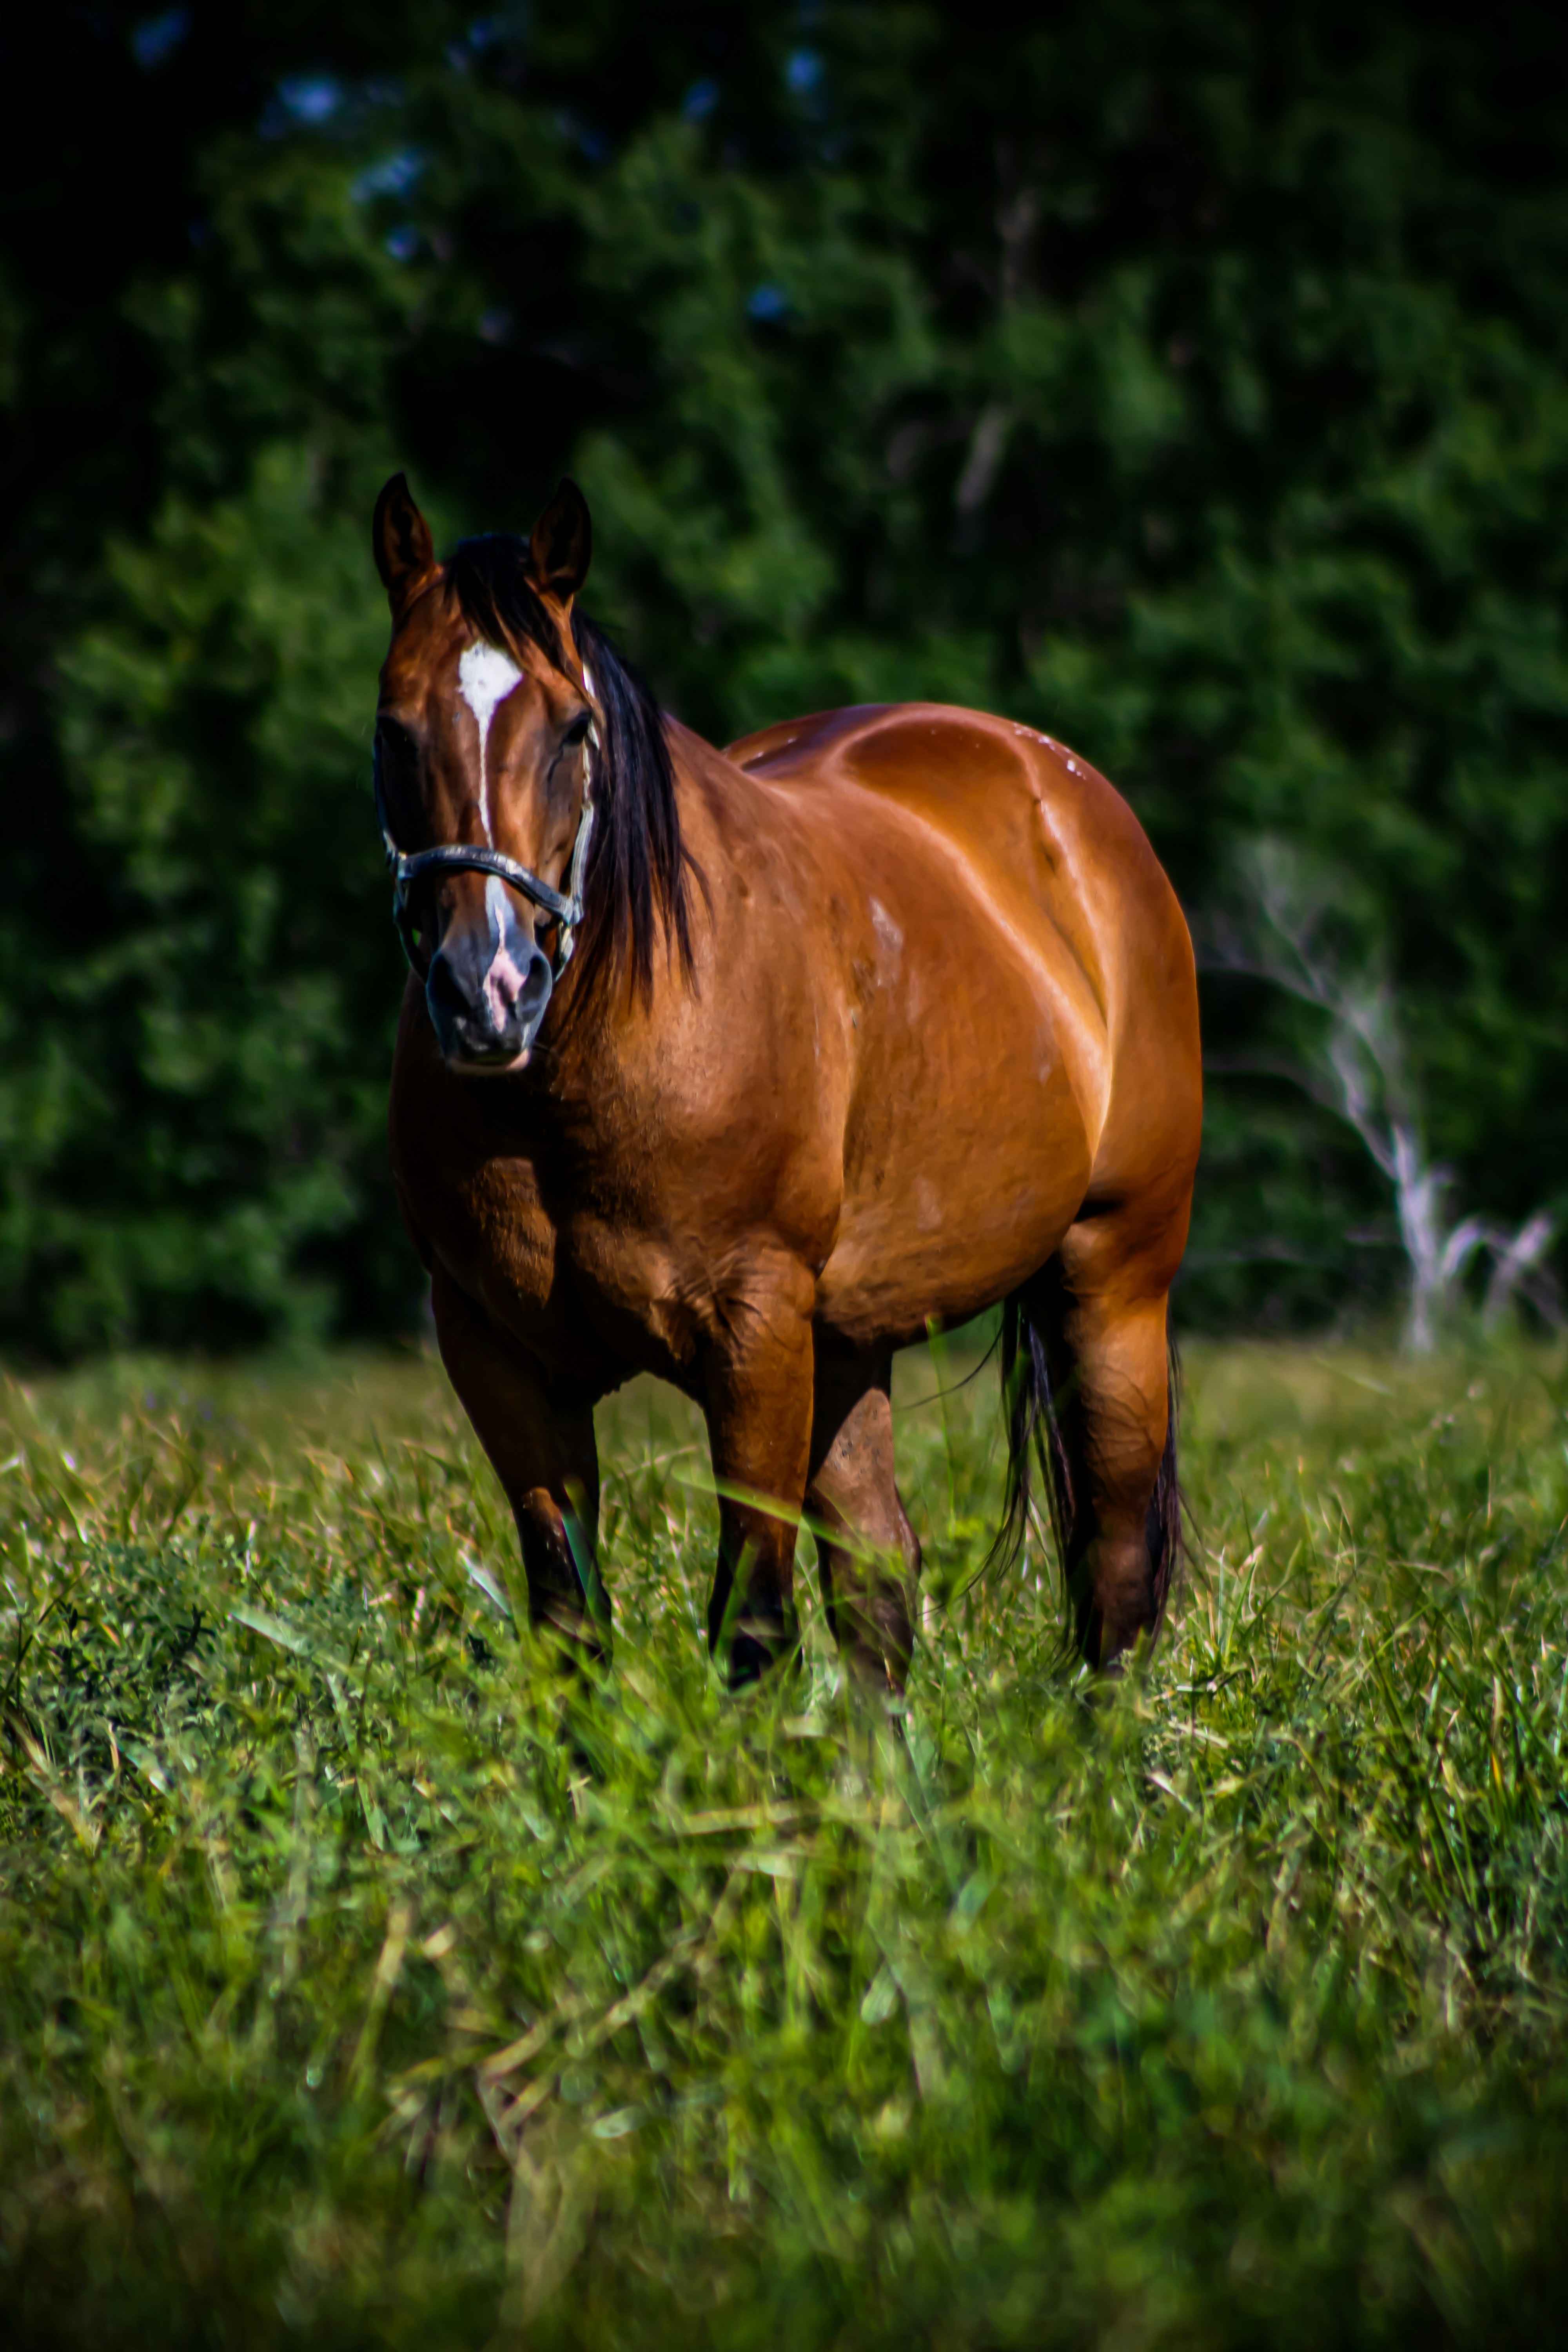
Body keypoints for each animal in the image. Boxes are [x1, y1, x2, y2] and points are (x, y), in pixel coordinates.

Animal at [371, 473, 1202, 1692]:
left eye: (572, 730)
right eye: (394, 731)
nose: (489, 989)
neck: (586, 1076)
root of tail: (1071, 798)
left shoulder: (753, 1333)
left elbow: (753, 1627)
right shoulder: (499, 1354)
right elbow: (572, 1626)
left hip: (1113, 1283)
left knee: (1114, 1582)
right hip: (849, 1343)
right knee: (880, 1586)